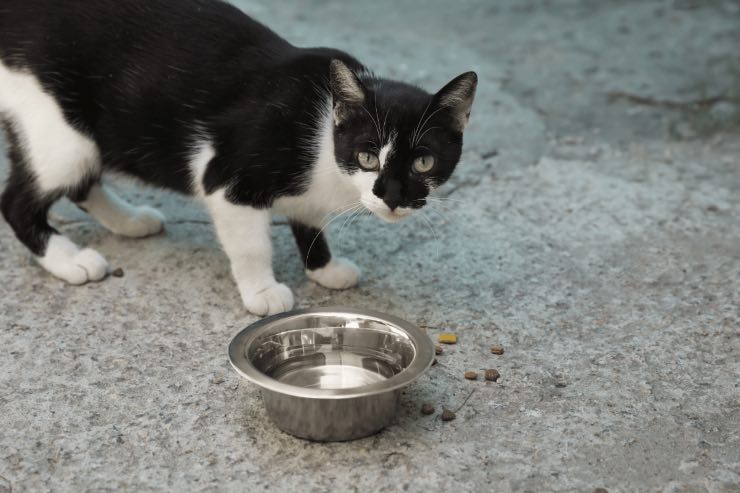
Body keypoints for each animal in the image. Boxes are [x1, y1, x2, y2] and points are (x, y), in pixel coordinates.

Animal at [0, 0, 476, 316]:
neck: (323, 137)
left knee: (82, 181)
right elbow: (250, 245)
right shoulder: (226, 177)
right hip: (62, 134)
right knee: (19, 201)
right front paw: (263, 292)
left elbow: (309, 219)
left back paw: (129, 220)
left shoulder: (309, 190)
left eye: (423, 163)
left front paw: (323, 267)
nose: (393, 196)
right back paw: (69, 260)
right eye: (367, 157)